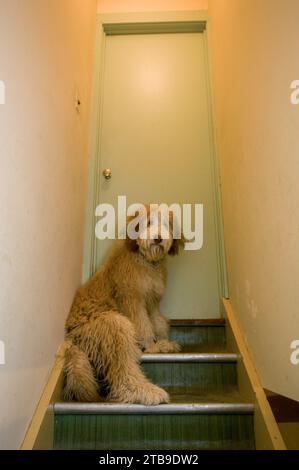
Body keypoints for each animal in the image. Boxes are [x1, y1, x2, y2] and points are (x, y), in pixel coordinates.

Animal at [63, 204, 185, 406]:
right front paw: (150, 346)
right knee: (122, 367)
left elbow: (157, 322)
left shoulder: (152, 301)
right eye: (148, 222)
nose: (158, 238)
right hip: (109, 327)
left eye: (166, 224)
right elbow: (143, 325)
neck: (145, 261)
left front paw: (161, 343)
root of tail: (72, 338)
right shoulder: (132, 299)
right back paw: (142, 391)